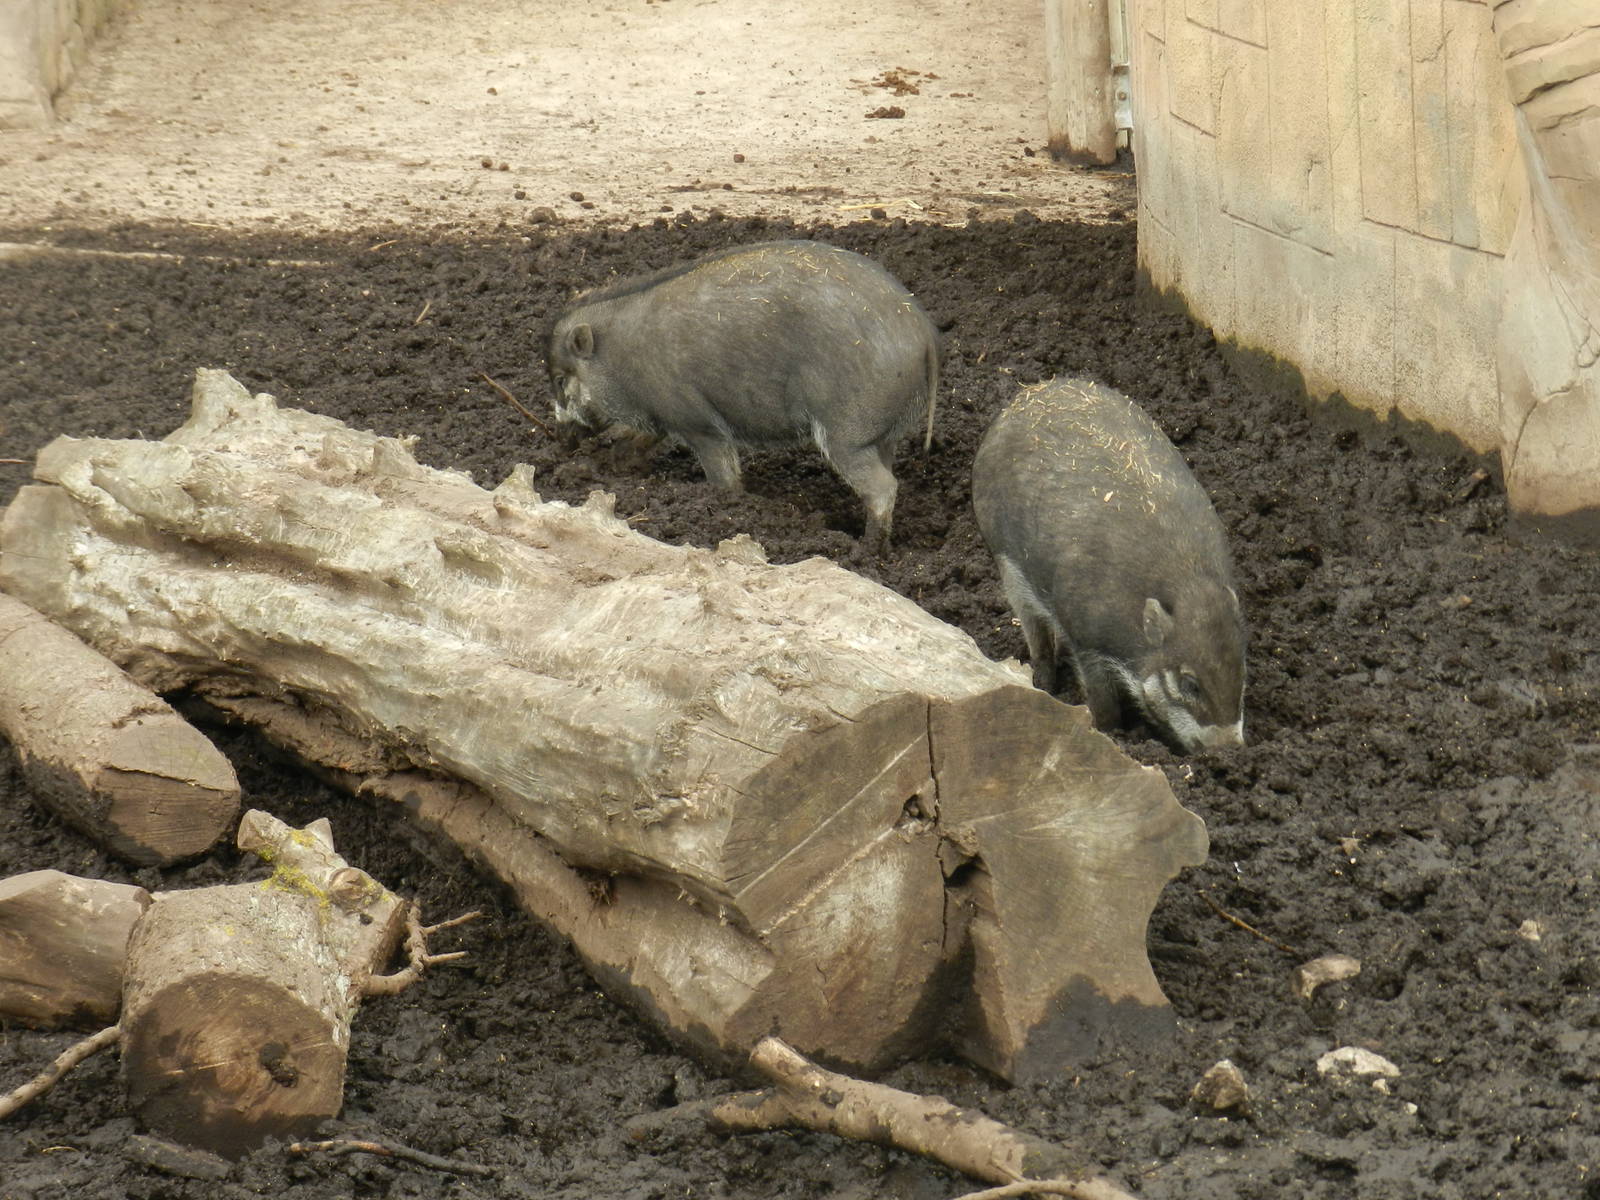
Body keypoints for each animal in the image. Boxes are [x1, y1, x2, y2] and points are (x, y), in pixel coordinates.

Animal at [545, 239, 940, 551]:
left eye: (562, 380)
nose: (560, 441)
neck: (619, 357)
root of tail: (926, 336)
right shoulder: (662, 418)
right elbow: (634, 440)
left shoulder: (698, 422)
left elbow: (724, 477)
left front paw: (728, 504)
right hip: (882, 434)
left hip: (846, 433)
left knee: (883, 487)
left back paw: (867, 550)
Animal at [971, 377, 1246, 752]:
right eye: (1189, 684)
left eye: (1240, 672)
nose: (1230, 750)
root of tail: (1028, 393)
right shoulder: (1087, 639)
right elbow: (1102, 701)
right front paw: (1111, 734)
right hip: (1007, 565)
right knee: (1035, 632)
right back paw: (1044, 683)